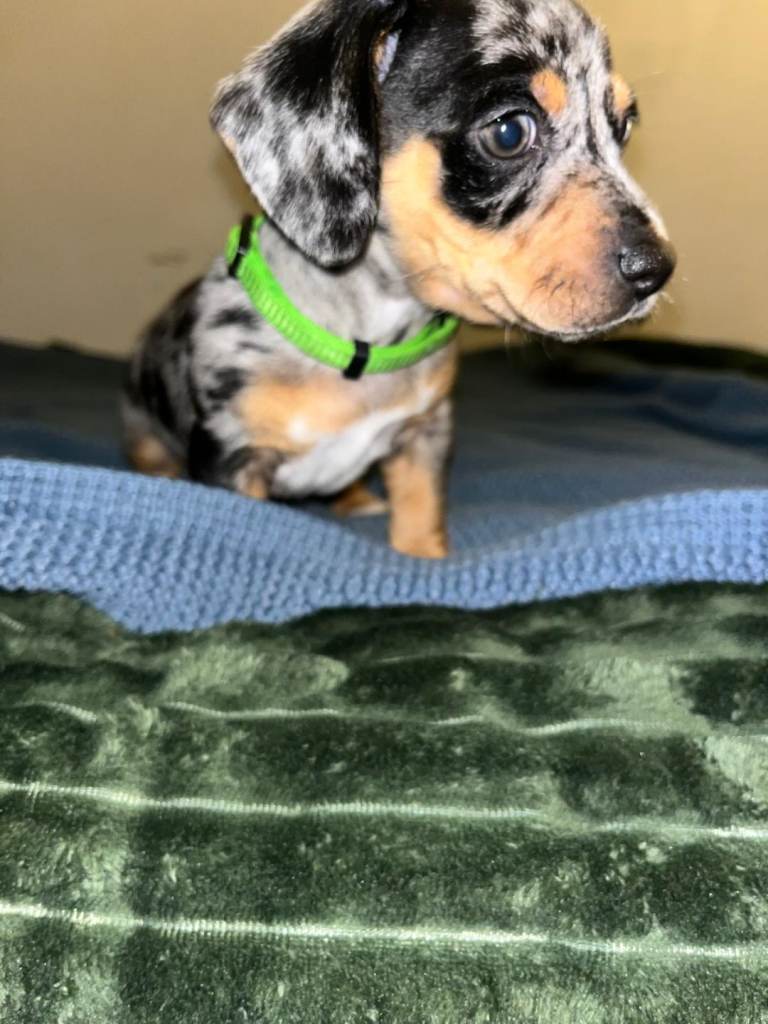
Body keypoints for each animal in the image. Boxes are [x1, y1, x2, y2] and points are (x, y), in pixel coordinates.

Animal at [123, 0, 675, 559]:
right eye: (509, 132)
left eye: (624, 128)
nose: (656, 270)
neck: (368, 339)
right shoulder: (231, 454)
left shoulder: (424, 433)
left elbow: (421, 509)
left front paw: (424, 557)